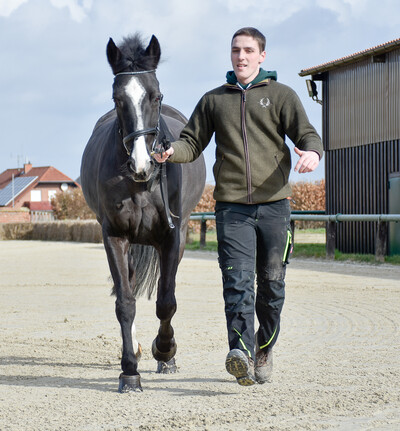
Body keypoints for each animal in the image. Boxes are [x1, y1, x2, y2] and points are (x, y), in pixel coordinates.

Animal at [81, 34, 206, 392]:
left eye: (156, 95)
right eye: (117, 98)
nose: (142, 164)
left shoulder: (173, 238)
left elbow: (166, 300)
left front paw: (165, 351)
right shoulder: (115, 236)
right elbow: (125, 302)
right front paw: (129, 371)